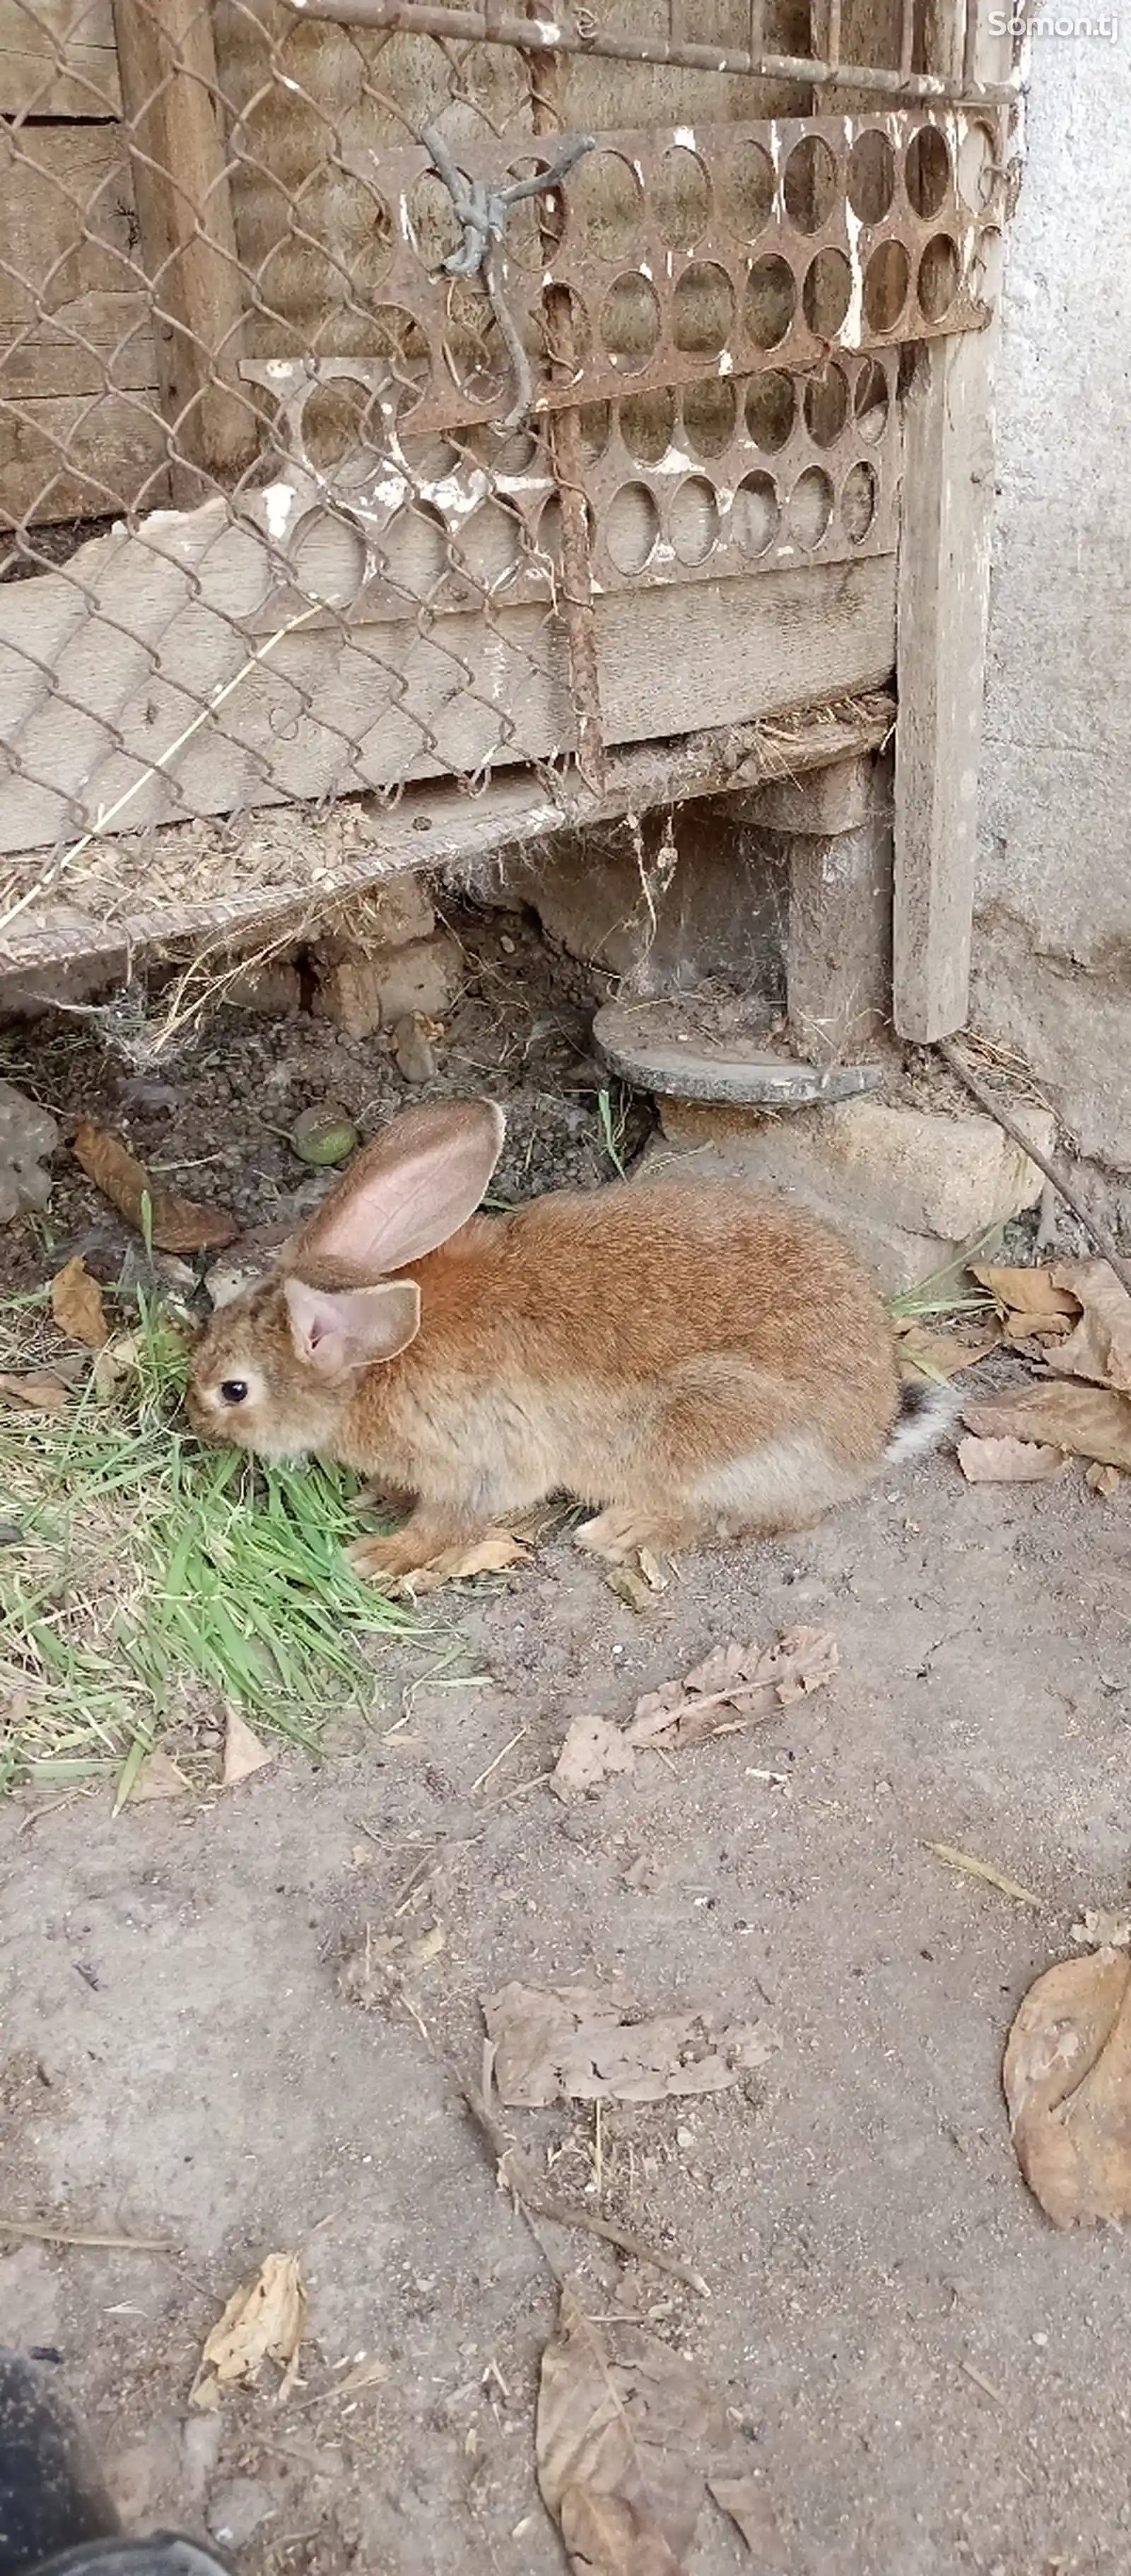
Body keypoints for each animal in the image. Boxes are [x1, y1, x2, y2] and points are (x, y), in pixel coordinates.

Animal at [188, 1097, 958, 1576]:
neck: (372, 1362)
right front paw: (377, 1498)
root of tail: (866, 1439)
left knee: (735, 1517)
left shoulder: (475, 1461)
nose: (193, 1419)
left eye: (235, 1390)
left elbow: (447, 1522)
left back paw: (619, 1530)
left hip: (708, 1429)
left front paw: (382, 1553)